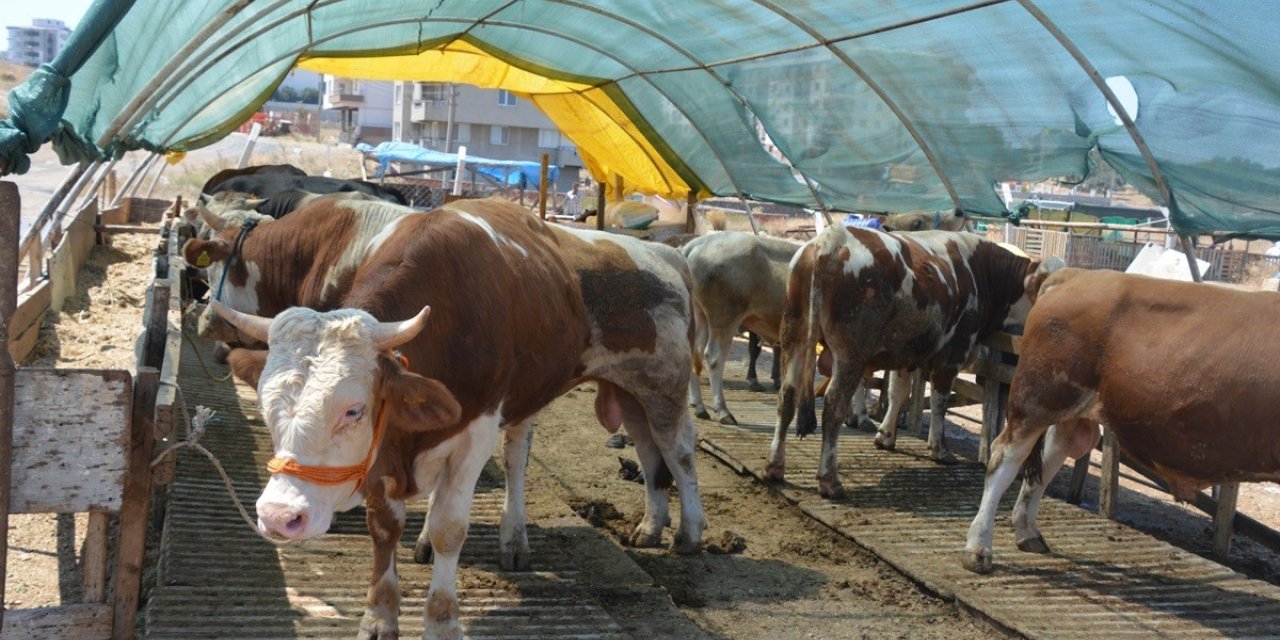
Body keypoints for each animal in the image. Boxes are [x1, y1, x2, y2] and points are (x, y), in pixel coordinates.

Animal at [190, 197, 711, 637]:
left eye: (353, 410)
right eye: (266, 406)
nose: (279, 517)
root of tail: (668, 256)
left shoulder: (475, 430)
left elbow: (449, 528)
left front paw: (441, 620)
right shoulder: (386, 446)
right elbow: (385, 526)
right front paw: (379, 617)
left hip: (662, 385)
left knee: (678, 451)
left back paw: (687, 532)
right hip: (620, 393)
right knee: (638, 449)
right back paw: (643, 527)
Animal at [762, 225, 1054, 499]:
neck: (983, 273)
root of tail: (831, 240)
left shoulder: (903, 351)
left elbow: (897, 392)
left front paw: (886, 435)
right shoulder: (953, 353)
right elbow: (939, 402)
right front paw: (939, 448)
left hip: (795, 334)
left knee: (787, 396)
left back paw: (775, 467)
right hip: (851, 352)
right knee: (834, 406)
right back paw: (829, 480)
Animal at [962, 270, 1280, 576]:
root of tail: (1075, 274)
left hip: (1066, 410)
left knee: (1049, 459)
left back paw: (1027, 533)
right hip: (1036, 399)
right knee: (1004, 458)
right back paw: (978, 549)